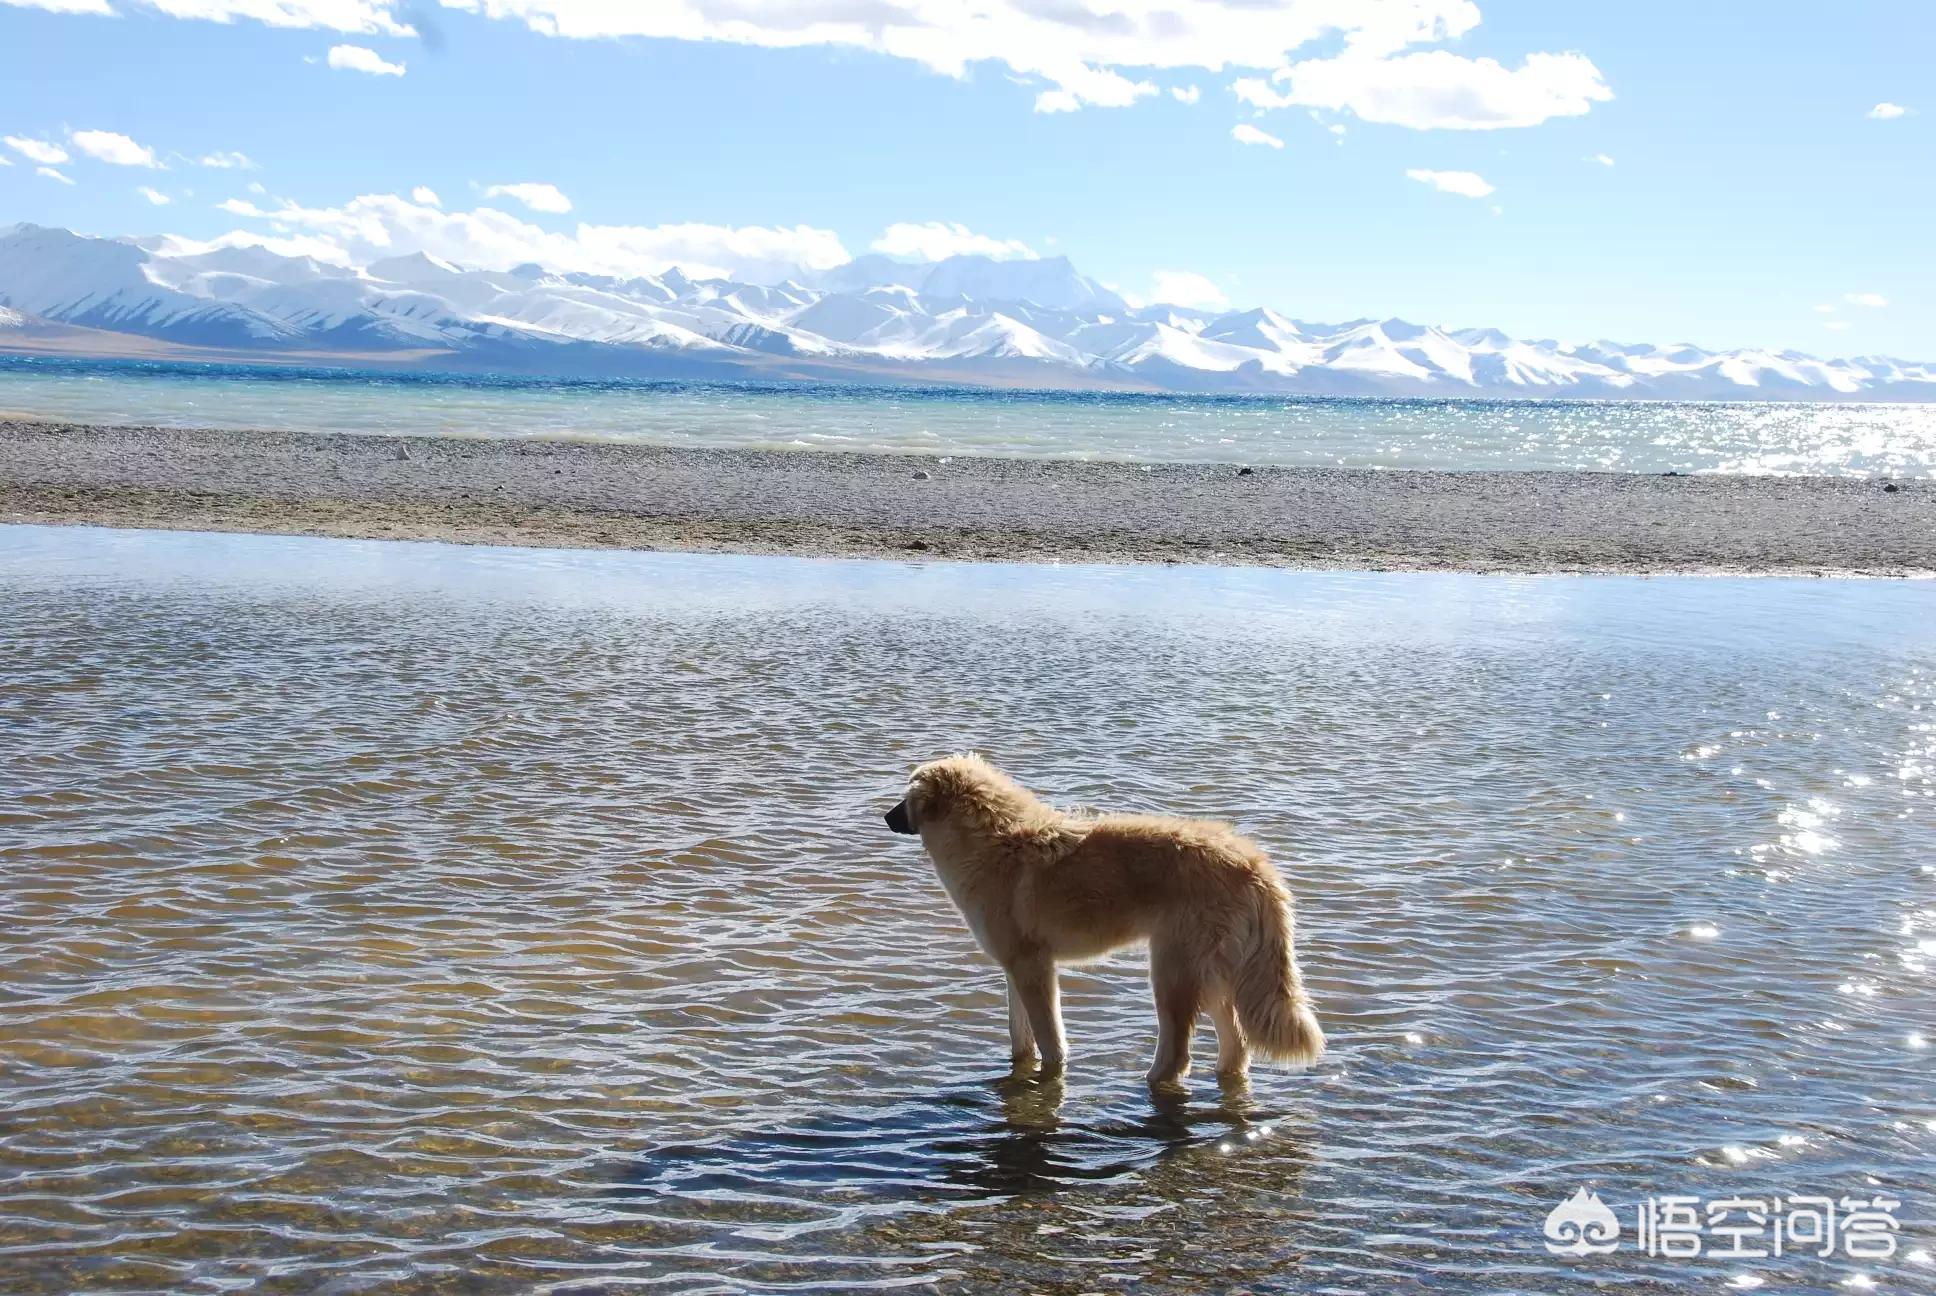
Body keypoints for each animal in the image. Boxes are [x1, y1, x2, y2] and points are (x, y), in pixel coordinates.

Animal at [886, 751, 1324, 1084]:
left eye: (905, 796)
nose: (885, 818)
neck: (998, 841)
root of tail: (1253, 864)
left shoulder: (1033, 968)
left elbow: (1050, 1040)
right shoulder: (1015, 968)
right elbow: (1020, 1037)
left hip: (1173, 971)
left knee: (1179, 1054)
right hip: (1212, 975)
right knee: (1235, 1050)